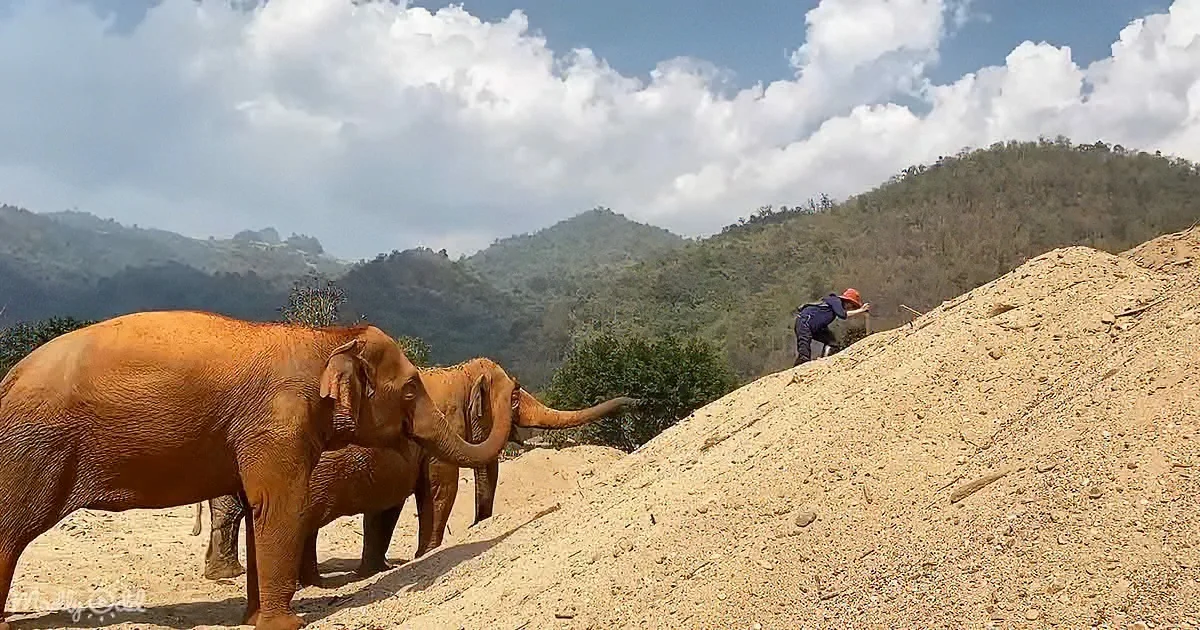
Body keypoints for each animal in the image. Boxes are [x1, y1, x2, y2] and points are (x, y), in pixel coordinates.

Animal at [0, 311, 517, 630]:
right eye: (411, 388)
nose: (504, 383)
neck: (327, 338)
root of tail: (11, 376)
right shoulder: (277, 422)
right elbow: (279, 505)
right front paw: (285, 624)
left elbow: (258, 508)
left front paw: (253, 620)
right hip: (33, 449)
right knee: (13, 528)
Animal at [192, 357, 635, 585]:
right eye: (514, 397)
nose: (632, 400)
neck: (456, 373)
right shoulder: (442, 433)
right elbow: (440, 489)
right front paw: (426, 555)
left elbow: (385, 509)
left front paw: (377, 570)